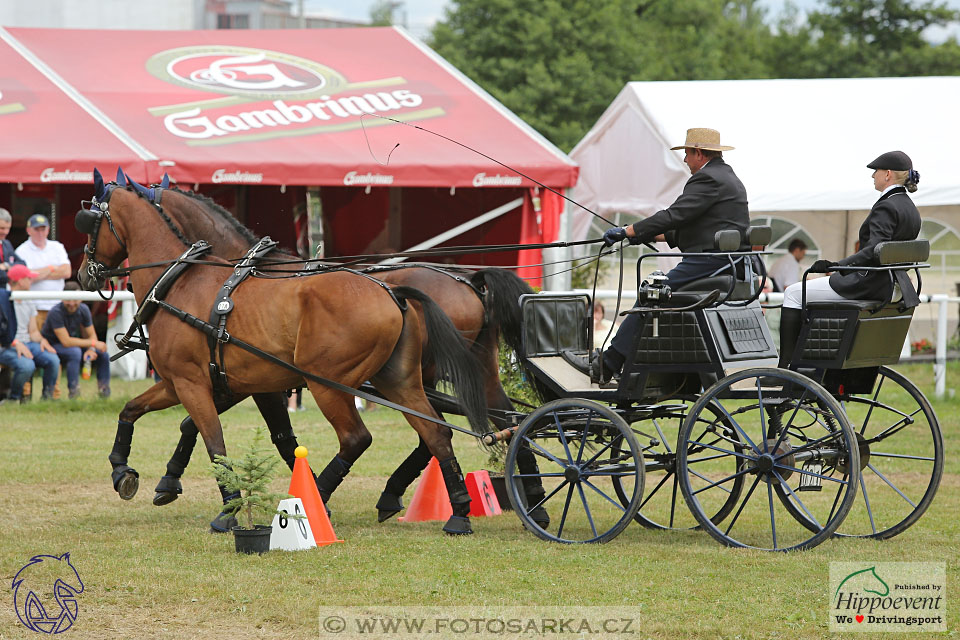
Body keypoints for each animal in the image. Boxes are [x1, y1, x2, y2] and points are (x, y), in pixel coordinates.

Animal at [104, 179, 548, 528]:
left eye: (92, 221)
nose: (92, 273)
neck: (220, 284)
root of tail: (467, 281)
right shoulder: (242, 380)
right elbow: (251, 434)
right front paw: (164, 479)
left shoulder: (225, 380)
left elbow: (211, 430)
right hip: (453, 373)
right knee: (492, 421)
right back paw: (524, 503)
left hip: (350, 382)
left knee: (391, 435)